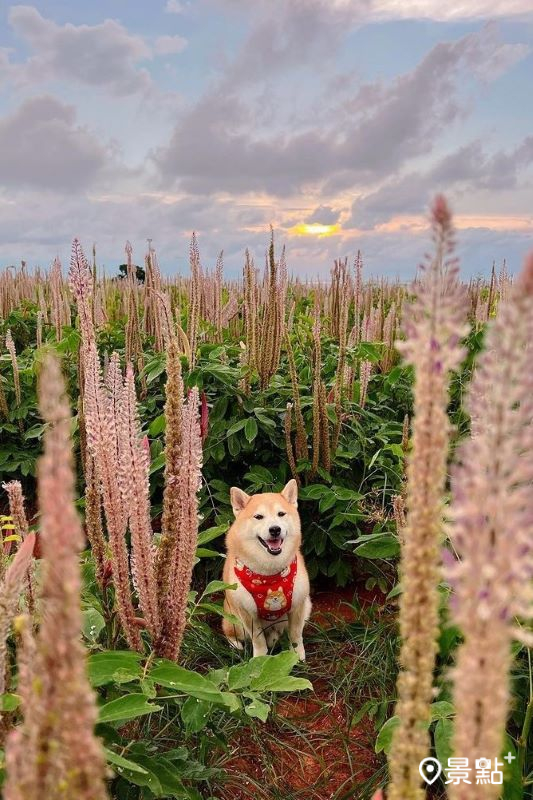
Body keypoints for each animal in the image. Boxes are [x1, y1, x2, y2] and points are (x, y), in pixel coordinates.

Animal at [221, 478, 312, 660]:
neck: (269, 574)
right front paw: (260, 659)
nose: (275, 529)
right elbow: (258, 639)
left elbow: (295, 635)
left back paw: (274, 637)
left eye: (281, 514)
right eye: (258, 517)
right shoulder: (248, 614)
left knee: (277, 632)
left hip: (306, 607)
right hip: (234, 621)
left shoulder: (298, 606)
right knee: (230, 633)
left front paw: (296, 655)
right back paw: (236, 645)